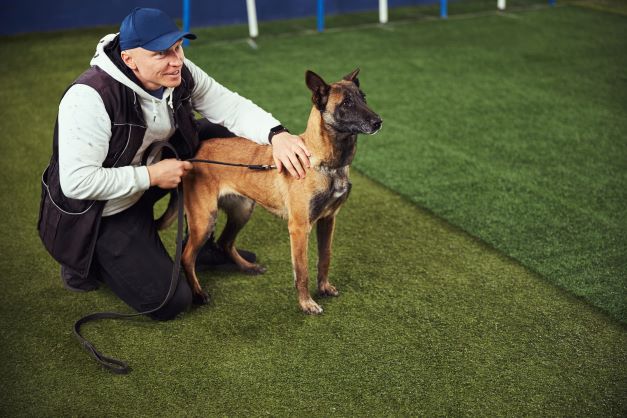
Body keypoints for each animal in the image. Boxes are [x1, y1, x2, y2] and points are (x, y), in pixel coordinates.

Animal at [164, 69, 380, 314]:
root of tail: (191, 156)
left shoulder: (328, 220)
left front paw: (324, 287)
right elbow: (302, 271)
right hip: (204, 219)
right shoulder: (299, 228)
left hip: (242, 211)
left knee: (225, 243)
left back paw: (248, 267)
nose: (378, 122)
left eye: (363, 98)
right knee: (187, 256)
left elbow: (325, 258)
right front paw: (306, 303)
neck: (324, 163)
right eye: (347, 103)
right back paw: (199, 293)